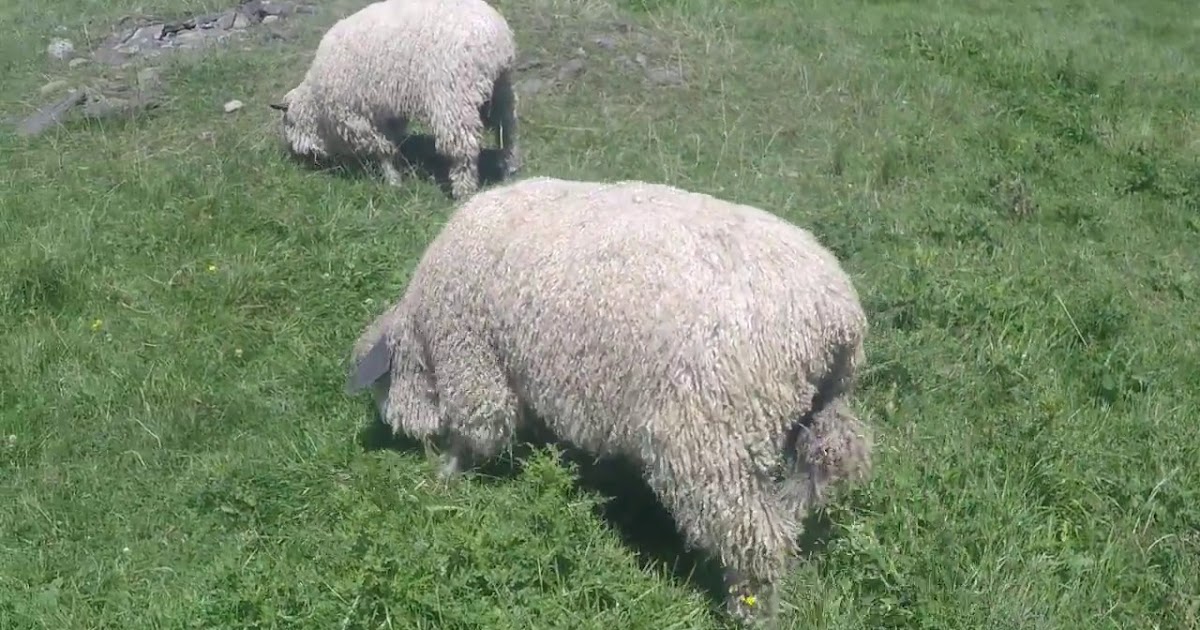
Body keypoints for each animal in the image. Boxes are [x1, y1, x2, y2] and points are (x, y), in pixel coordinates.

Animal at [271, 0, 520, 199]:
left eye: (287, 124)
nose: (304, 162)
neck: (316, 101)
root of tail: (494, 33)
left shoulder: (355, 116)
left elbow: (381, 148)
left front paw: (392, 181)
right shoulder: (389, 112)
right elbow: (392, 142)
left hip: (453, 96)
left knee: (464, 148)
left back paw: (463, 191)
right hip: (500, 87)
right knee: (507, 129)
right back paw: (510, 168)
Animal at [346, 176, 873, 627]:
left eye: (380, 385)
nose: (406, 435)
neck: (422, 330)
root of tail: (835, 316)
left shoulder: (473, 358)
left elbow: (478, 428)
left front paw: (445, 476)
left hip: (709, 440)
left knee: (754, 538)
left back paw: (749, 610)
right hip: (823, 410)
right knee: (826, 468)